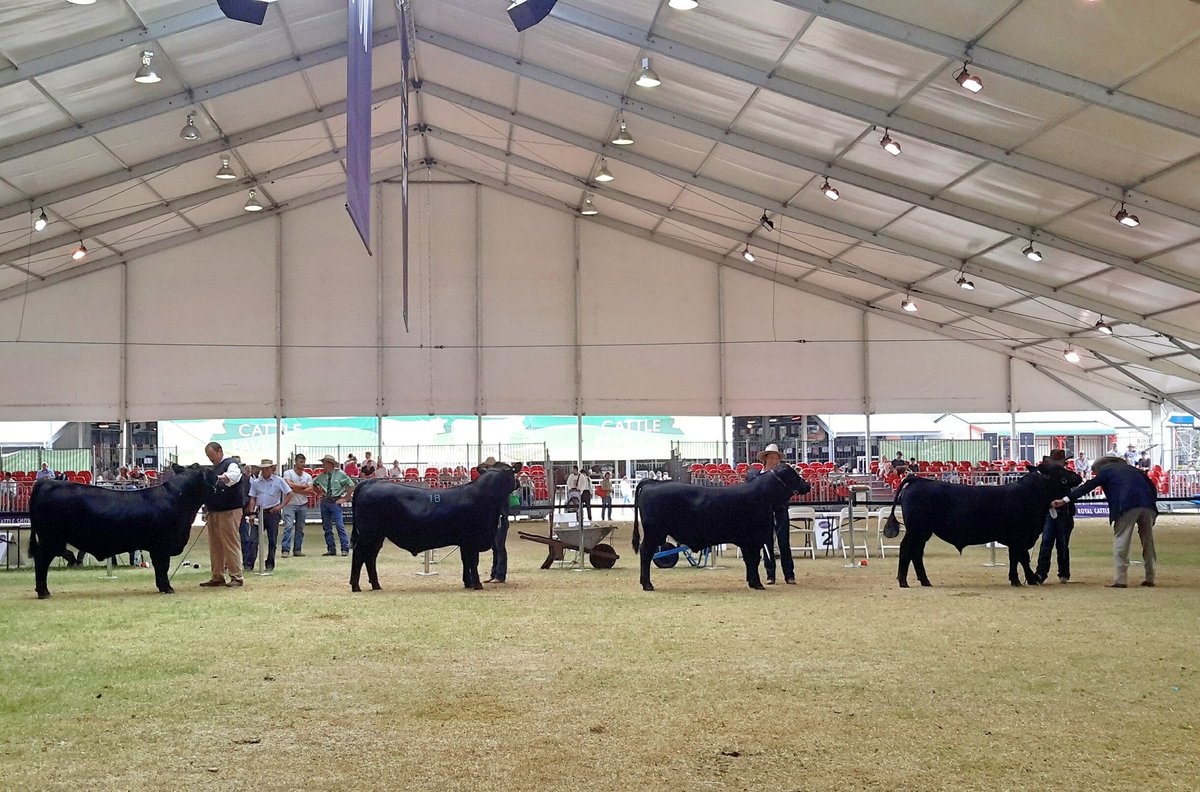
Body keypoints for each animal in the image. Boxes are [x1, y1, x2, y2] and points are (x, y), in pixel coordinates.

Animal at [29, 464, 217, 599]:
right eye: (210, 474)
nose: (219, 479)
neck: (178, 499)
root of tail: (47, 482)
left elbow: (159, 568)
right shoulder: (161, 545)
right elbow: (163, 566)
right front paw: (167, 588)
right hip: (50, 539)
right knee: (41, 560)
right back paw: (43, 592)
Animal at [350, 462, 521, 592]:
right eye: (513, 472)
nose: (518, 482)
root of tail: (370, 482)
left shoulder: (464, 542)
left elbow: (466, 562)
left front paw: (468, 583)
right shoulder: (472, 539)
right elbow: (473, 562)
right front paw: (477, 585)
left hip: (377, 536)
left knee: (370, 557)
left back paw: (376, 585)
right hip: (368, 534)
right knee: (359, 554)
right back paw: (356, 586)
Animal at [631, 465, 811, 591]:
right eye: (795, 475)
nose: (808, 485)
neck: (763, 495)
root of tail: (652, 483)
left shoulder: (748, 541)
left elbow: (749, 561)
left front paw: (752, 582)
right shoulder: (753, 539)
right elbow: (753, 560)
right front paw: (758, 584)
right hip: (654, 533)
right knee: (645, 552)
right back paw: (647, 584)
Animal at [882, 463, 1077, 588]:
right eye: (1060, 471)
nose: (1079, 476)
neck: (1029, 495)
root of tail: (919, 480)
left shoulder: (1019, 538)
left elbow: (1020, 558)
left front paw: (1025, 579)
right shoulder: (1019, 536)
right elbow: (1019, 558)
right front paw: (1021, 580)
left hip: (923, 532)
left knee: (916, 553)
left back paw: (925, 581)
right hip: (917, 530)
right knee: (907, 549)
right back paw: (903, 582)